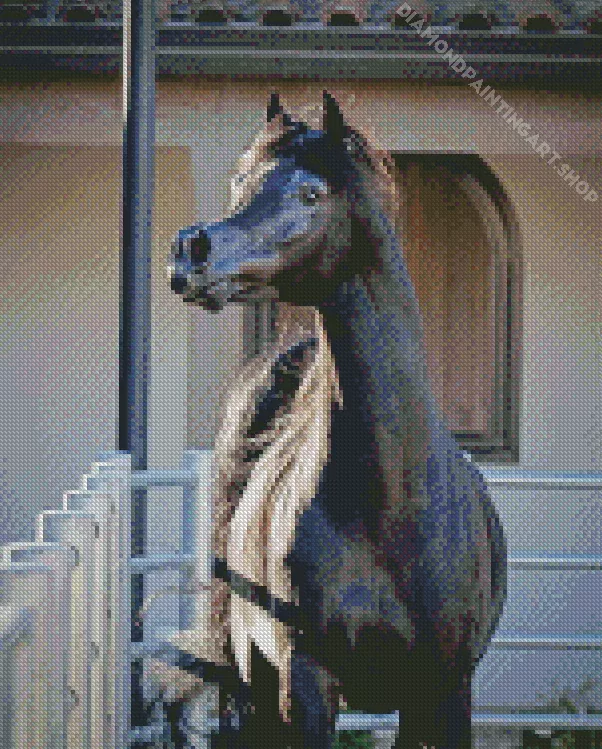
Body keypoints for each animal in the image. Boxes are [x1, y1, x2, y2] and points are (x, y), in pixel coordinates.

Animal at [164, 91, 507, 749]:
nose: (190, 251)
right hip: (256, 685)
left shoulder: (445, 690)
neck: (387, 505)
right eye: (240, 181)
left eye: (310, 193)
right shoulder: (308, 685)